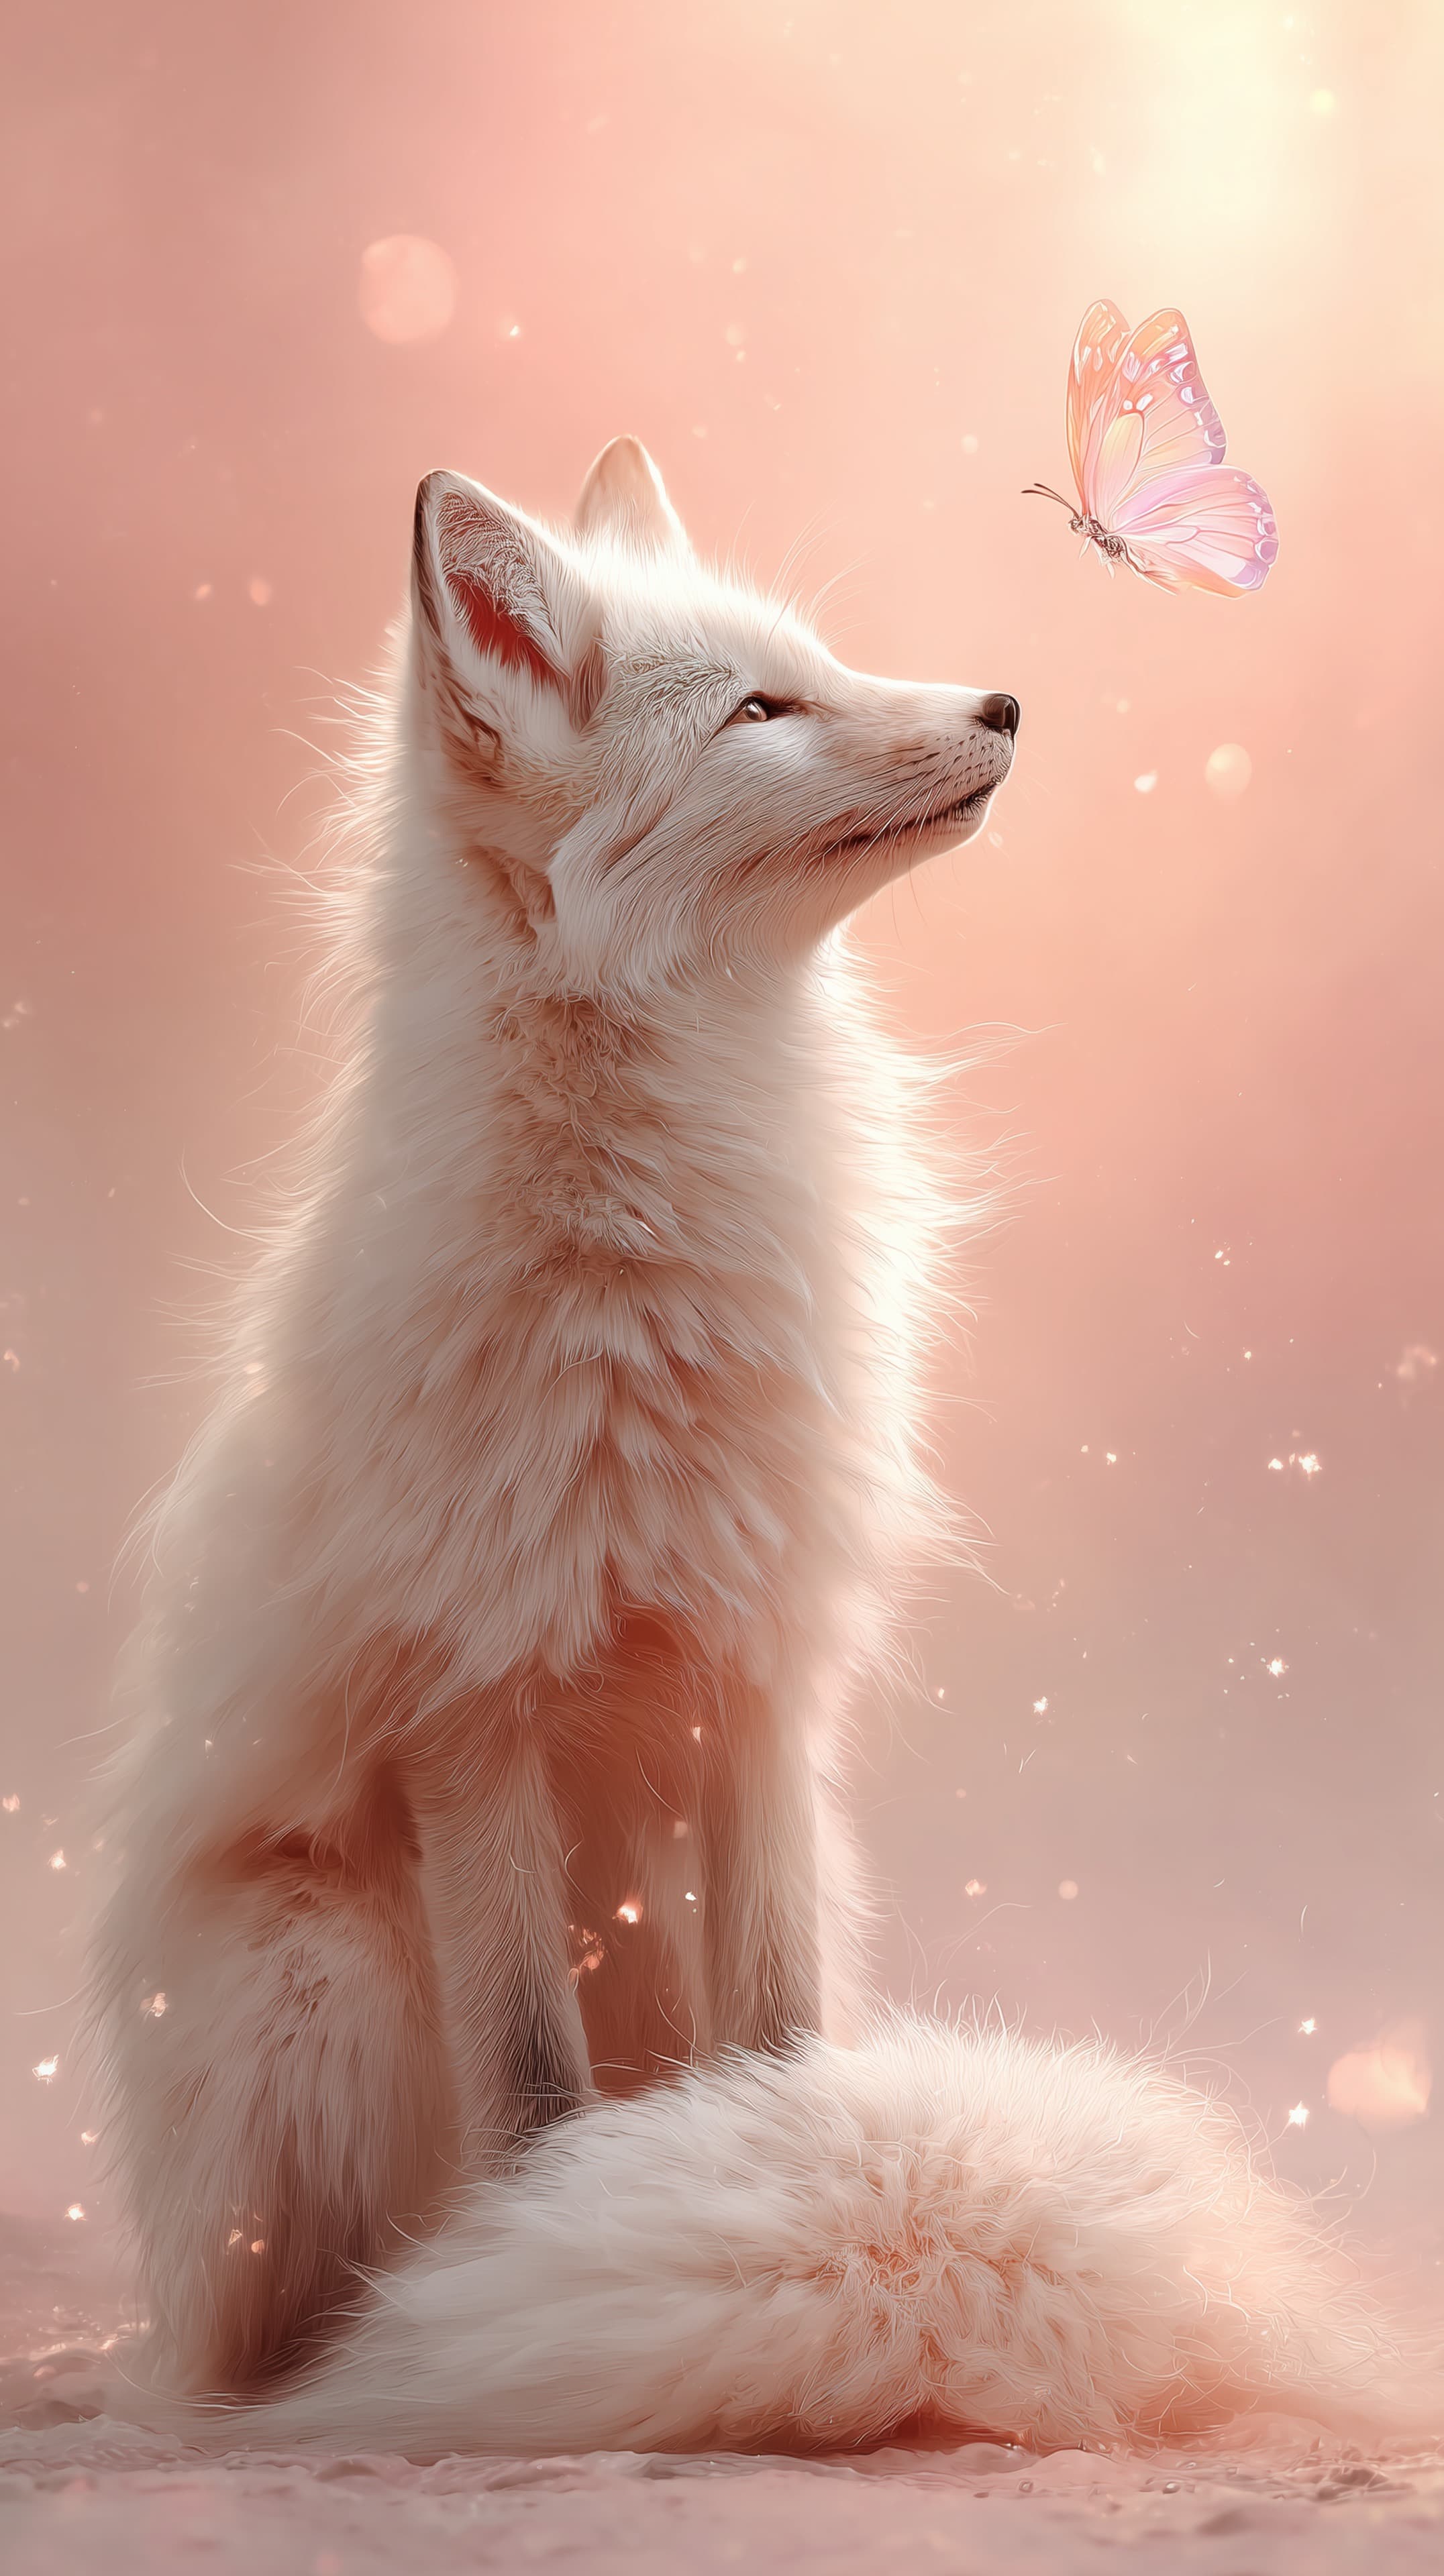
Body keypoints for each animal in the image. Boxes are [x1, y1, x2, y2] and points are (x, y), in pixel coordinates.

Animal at [90, 434, 1019, 2399]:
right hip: (318, 1982)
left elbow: (779, 2038)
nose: (1003, 703)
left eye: (820, 662)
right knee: (262, 2328)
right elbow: (531, 2088)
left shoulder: (757, 1685)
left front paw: (758, 2209)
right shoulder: (472, 1702)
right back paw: (336, 2361)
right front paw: (554, 2267)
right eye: (759, 711)